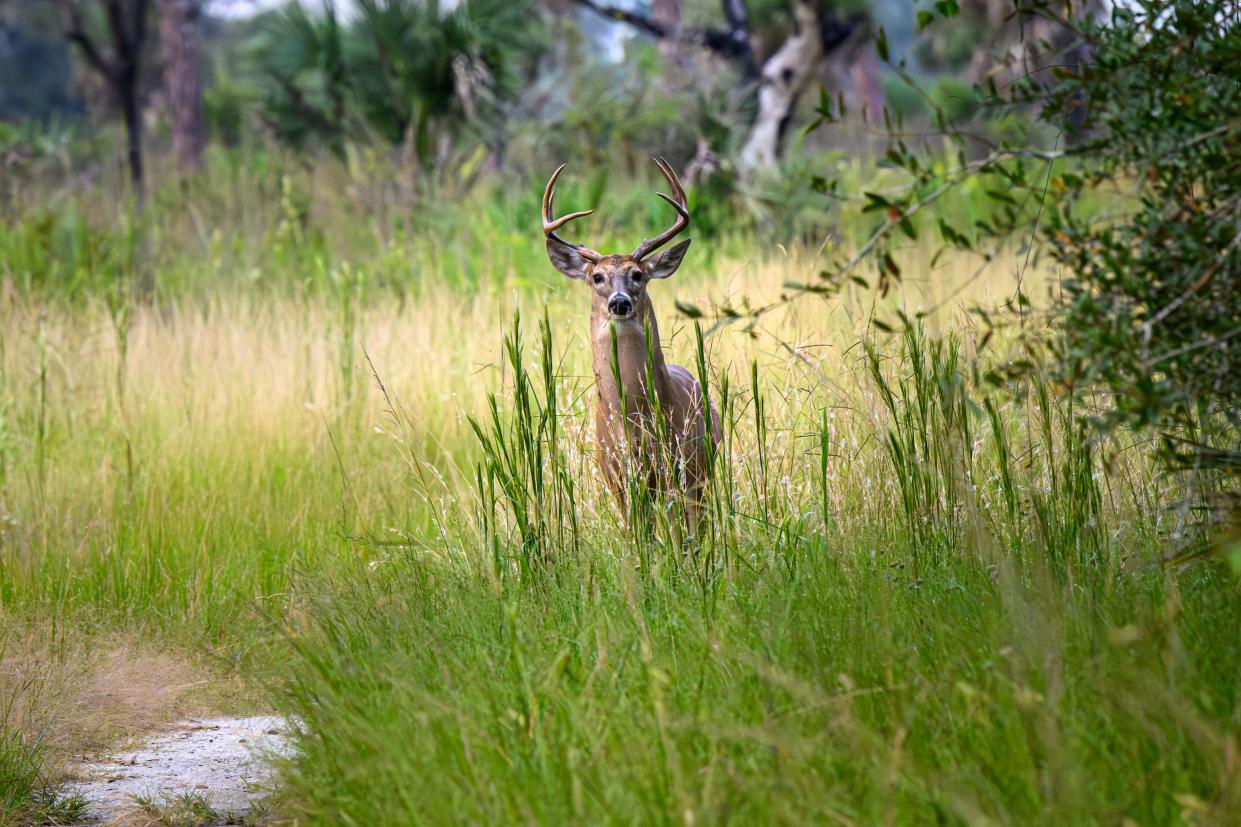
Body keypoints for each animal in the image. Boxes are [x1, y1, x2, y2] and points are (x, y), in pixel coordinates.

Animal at [538, 157, 724, 524]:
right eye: (597, 276)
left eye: (638, 274)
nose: (620, 302)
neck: (632, 422)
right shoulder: (616, 479)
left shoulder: (674, 470)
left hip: (702, 470)